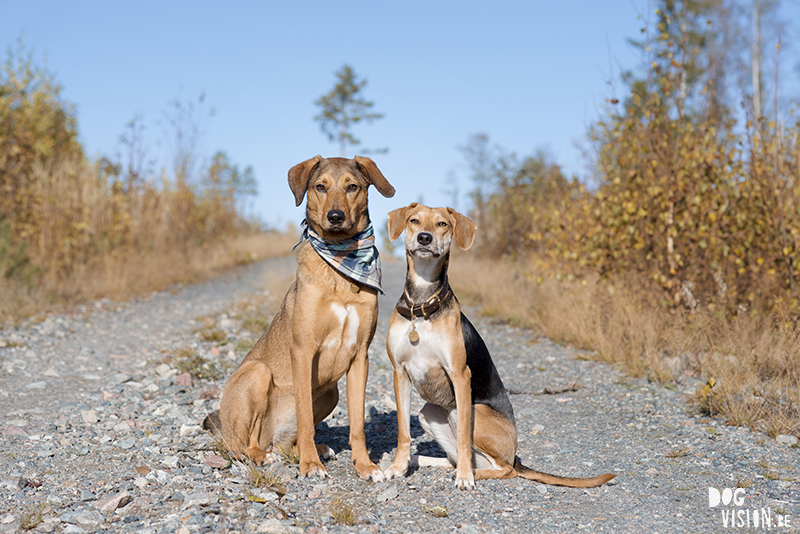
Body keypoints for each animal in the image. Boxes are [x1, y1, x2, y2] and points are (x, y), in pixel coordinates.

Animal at [205, 155, 396, 482]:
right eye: (320, 187)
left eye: (352, 187)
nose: (335, 216)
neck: (339, 268)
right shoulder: (304, 352)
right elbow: (306, 418)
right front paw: (310, 466)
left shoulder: (360, 357)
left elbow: (358, 425)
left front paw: (365, 465)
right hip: (257, 375)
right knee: (244, 446)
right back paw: (266, 455)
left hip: (331, 392)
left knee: (284, 443)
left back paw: (312, 449)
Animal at [382, 203, 620, 492]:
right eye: (414, 221)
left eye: (442, 224)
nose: (424, 238)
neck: (422, 305)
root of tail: (514, 454)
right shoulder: (400, 373)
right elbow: (403, 432)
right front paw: (399, 467)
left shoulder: (460, 375)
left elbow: (463, 438)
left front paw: (465, 479)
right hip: (428, 413)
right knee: (459, 458)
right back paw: (431, 463)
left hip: (473, 413)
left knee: (504, 469)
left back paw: (468, 473)